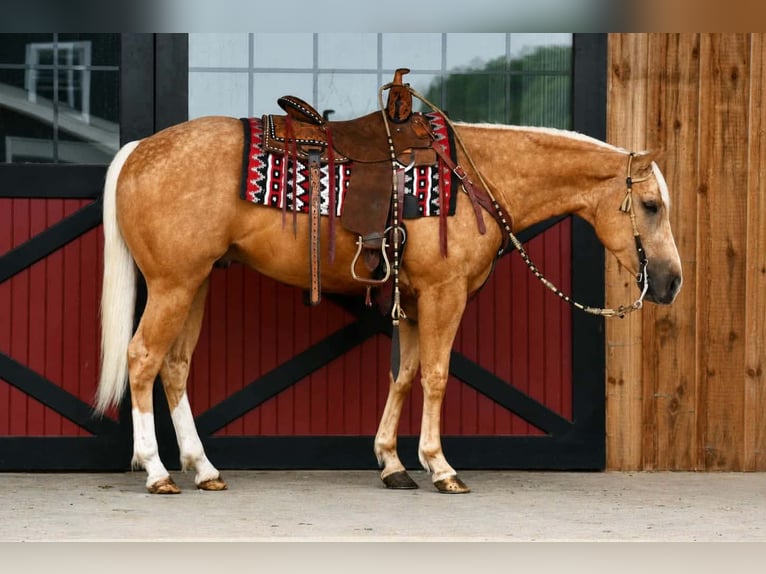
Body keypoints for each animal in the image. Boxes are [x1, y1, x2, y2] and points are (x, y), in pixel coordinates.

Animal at [94, 100, 682, 495]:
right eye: (651, 206)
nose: (672, 282)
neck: (473, 176)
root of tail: (138, 150)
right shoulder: (445, 295)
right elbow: (436, 376)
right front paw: (440, 466)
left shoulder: (416, 299)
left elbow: (403, 374)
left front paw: (393, 464)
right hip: (173, 284)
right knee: (142, 359)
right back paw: (156, 470)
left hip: (195, 283)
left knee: (174, 367)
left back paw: (204, 468)